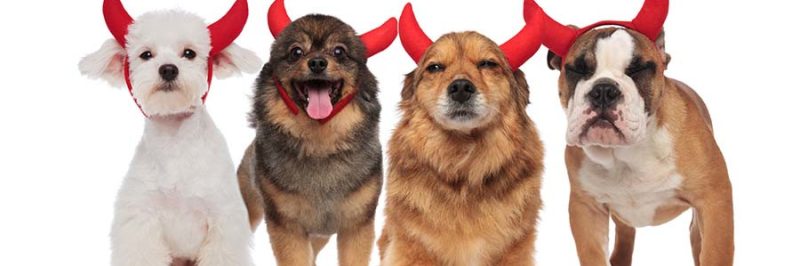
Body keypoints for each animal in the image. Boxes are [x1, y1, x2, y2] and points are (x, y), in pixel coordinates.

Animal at [79, 1, 260, 264]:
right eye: (146, 55)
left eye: (189, 53)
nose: (168, 69)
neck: (176, 142)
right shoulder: (141, 221)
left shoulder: (222, 219)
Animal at [238, 1, 396, 264]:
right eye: (296, 52)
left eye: (339, 52)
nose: (318, 63)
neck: (320, 144)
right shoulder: (286, 226)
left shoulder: (357, 225)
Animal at [528, 0, 736, 266]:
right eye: (577, 70)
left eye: (638, 70)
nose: (603, 90)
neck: (627, 154)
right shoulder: (586, 209)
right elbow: (594, 254)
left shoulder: (714, 201)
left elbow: (715, 253)